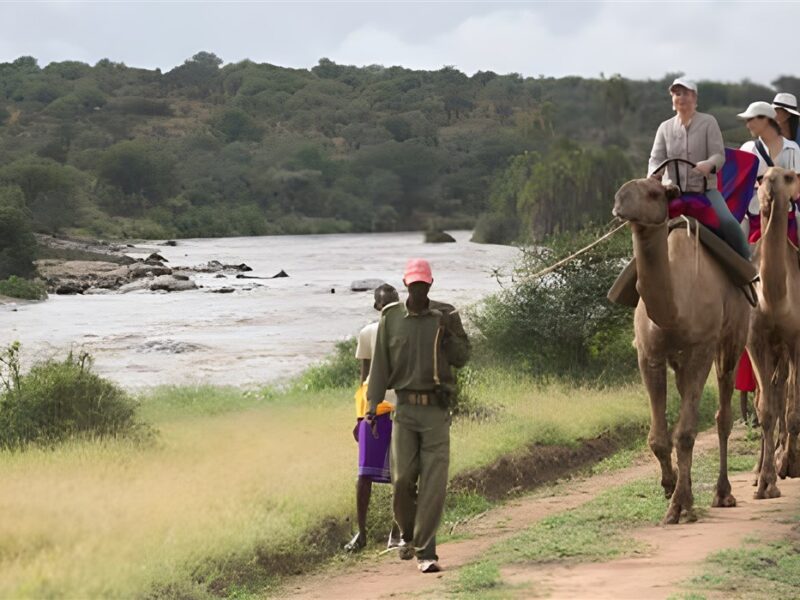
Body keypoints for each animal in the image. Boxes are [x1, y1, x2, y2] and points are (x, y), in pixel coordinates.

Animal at [612, 177, 750, 524]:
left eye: (653, 193)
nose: (619, 203)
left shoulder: (702, 348)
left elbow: (686, 433)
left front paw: (679, 505)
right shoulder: (649, 354)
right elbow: (659, 438)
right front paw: (670, 486)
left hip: (733, 339)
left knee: (723, 413)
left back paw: (722, 493)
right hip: (680, 362)